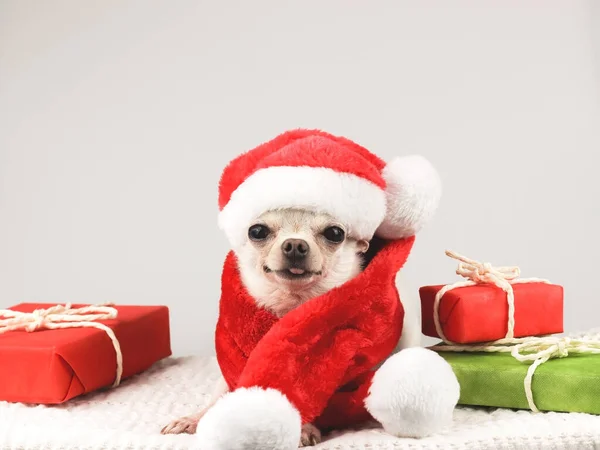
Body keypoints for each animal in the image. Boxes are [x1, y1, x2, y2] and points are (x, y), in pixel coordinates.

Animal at [162, 208, 420, 446]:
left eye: (335, 233)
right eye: (257, 231)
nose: (295, 244)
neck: (291, 306)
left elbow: (309, 395)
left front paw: (305, 427)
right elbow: (219, 397)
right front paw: (195, 418)